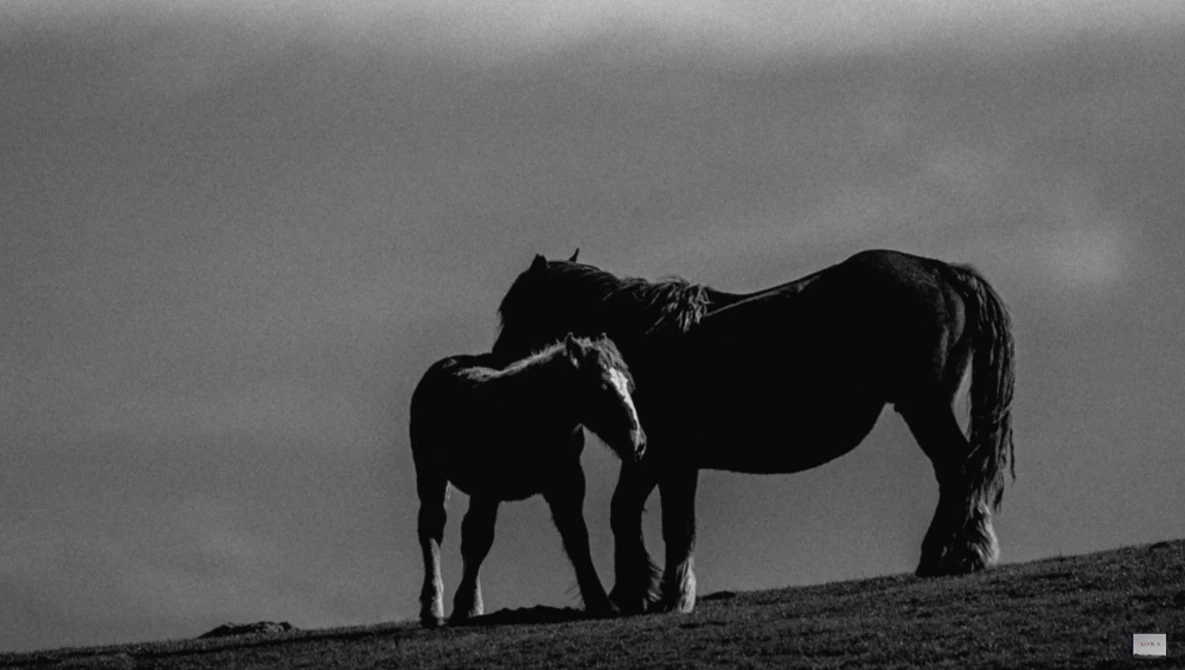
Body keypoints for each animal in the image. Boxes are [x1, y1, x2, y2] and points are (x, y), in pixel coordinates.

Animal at [410, 333, 647, 627]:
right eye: (602, 387)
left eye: (630, 384)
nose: (637, 444)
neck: (533, 411)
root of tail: (441, 367)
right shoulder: (489, 487)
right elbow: (478, 538)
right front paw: (462, 607)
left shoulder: (565, 485)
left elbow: (577, 538)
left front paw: (601, 602)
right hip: (432, 474)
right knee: (433, 528)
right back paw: (433, 609)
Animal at [492, 249, 1015, 614]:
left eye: (514, 311)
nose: (496, 365)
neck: (646, 338)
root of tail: (938, 269)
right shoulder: (665, 462)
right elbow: (644, 518)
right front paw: (647, 592)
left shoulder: (664, 458)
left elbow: (659, 522)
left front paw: (661, 595)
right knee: (956, 471)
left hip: (923, 406)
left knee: (958, 470)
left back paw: (954, 555)